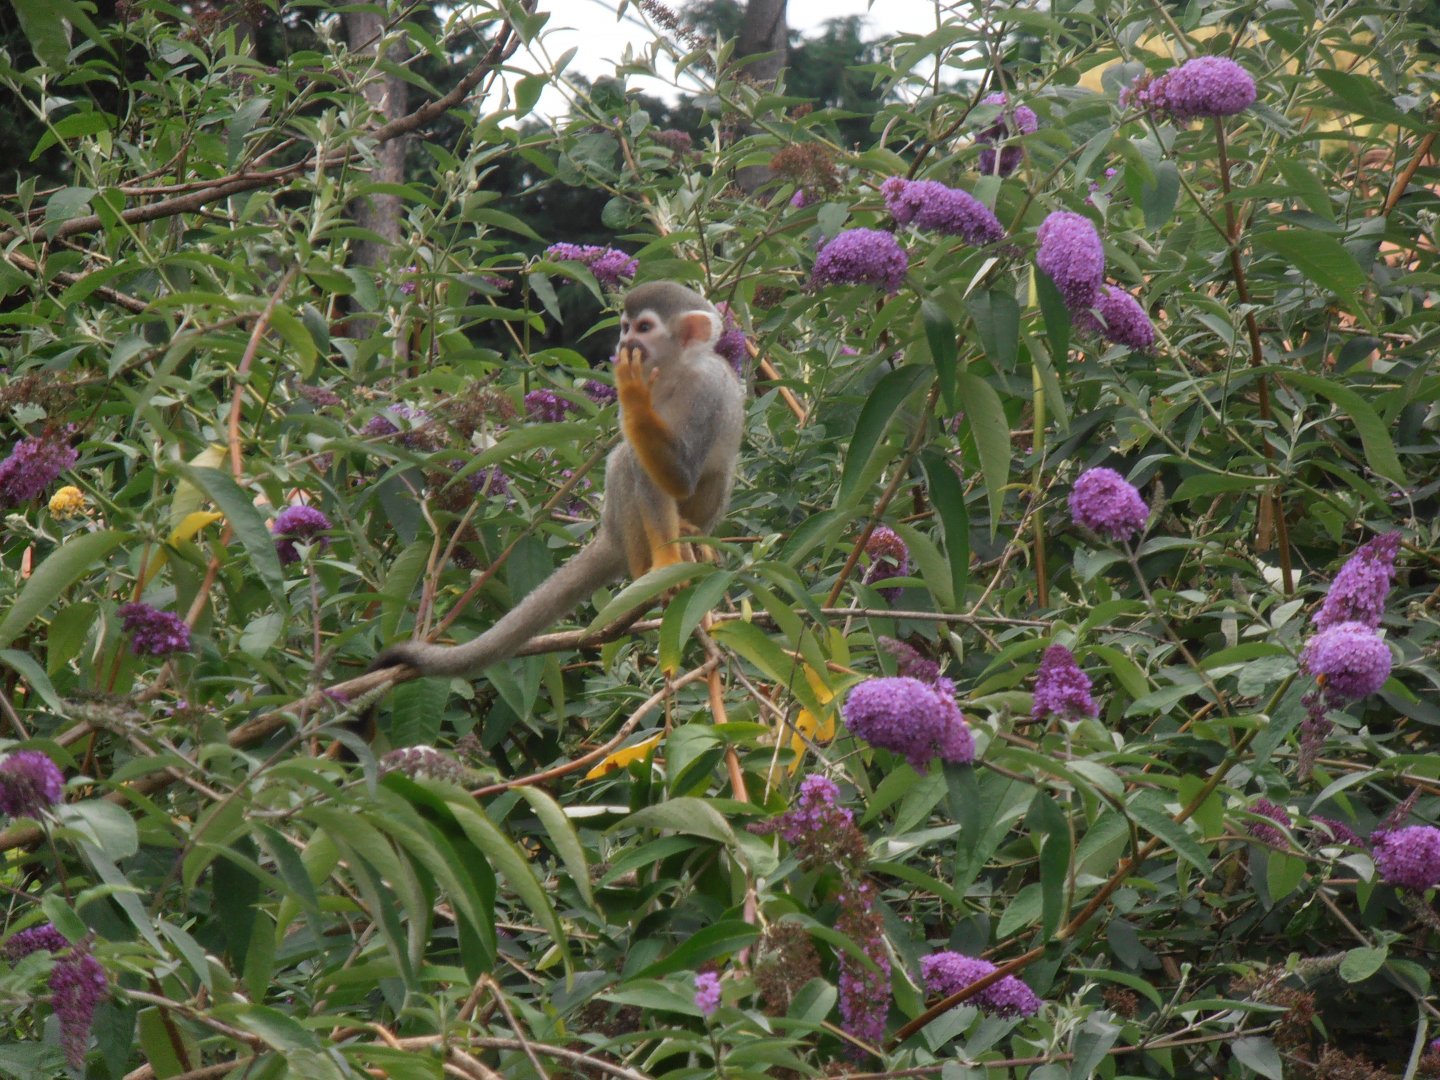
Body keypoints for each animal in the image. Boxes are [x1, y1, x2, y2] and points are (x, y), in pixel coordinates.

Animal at [365, 280, 745, 694]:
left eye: (643, 328)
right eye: (625, 327)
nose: (624, 344)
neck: (674, 373)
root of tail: (609, 534)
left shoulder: (707, 391)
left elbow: (681, 476)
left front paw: (633, 395)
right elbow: (649, 473)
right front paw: (665, 563)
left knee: (681, 467)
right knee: (627, 462)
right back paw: (647, 568)